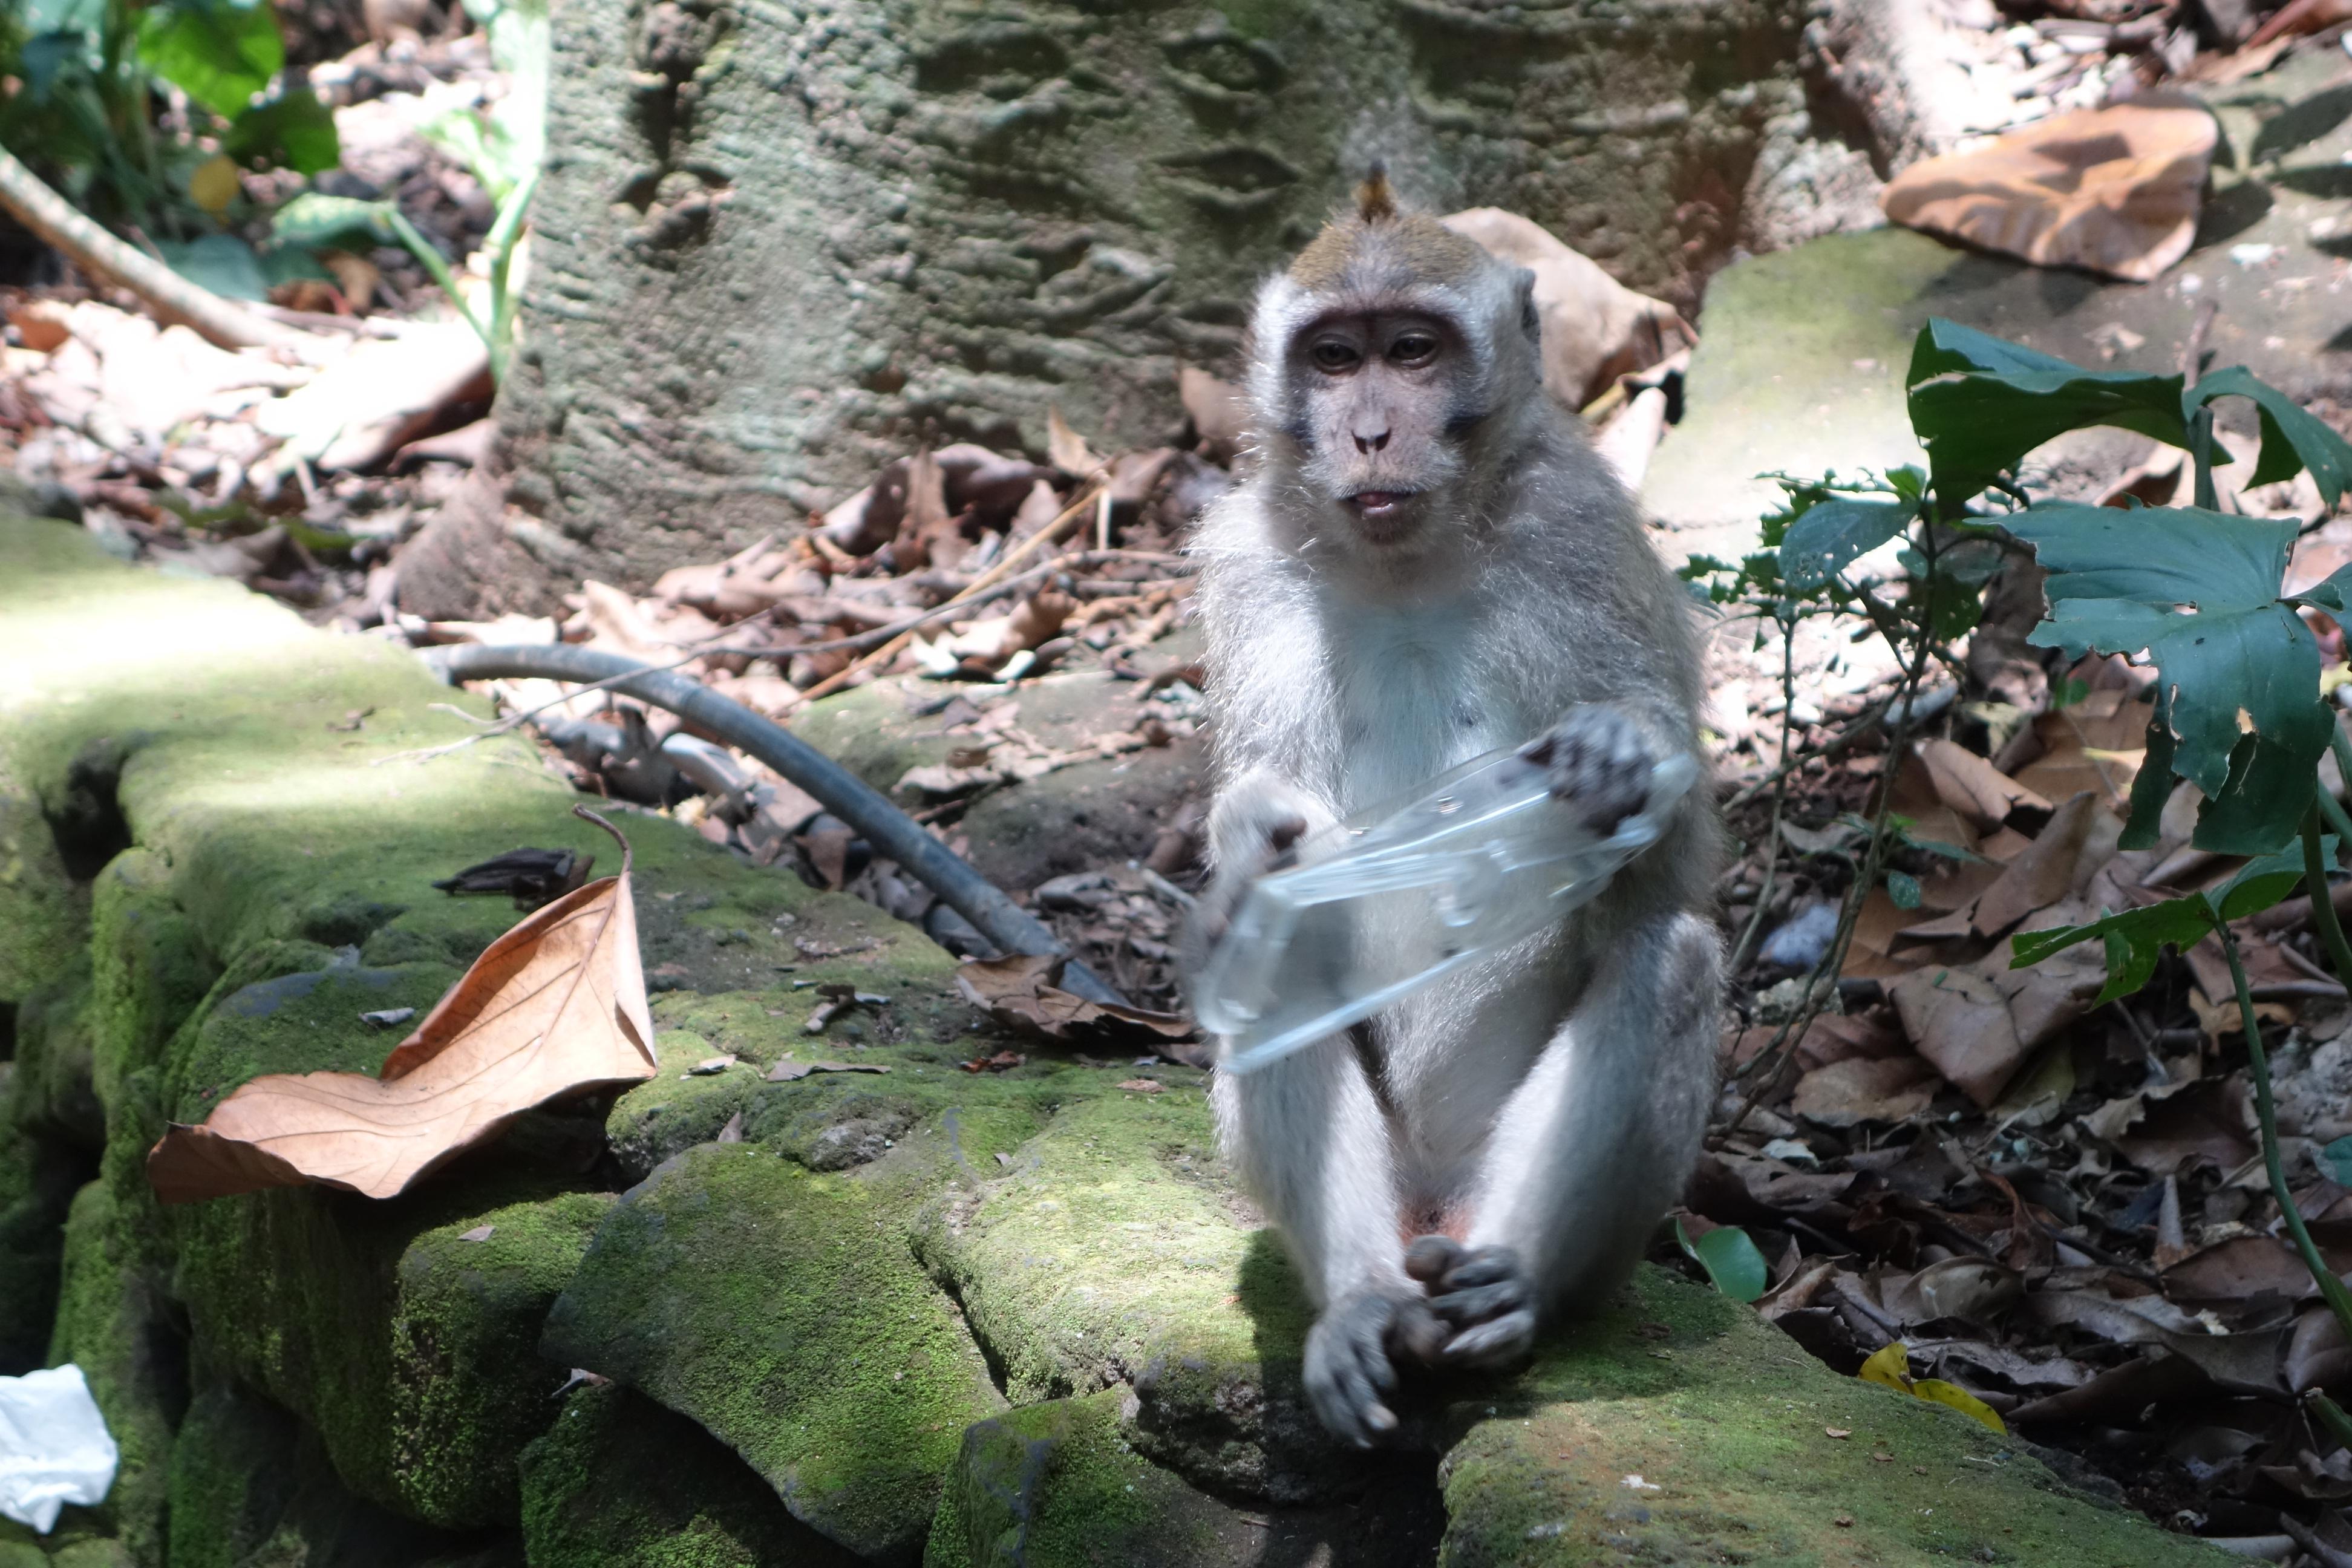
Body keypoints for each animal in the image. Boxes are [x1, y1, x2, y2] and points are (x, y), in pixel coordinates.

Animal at [1186, 171, 1724, 1448]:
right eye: (1334, 357)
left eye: (1414, 351)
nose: (1371, 431)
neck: (1408, 564)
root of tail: (1431, 1206)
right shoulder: (1246, 569)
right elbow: (1263, 865)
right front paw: (1253, 832)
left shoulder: (1583, 536)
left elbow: (1670, 856)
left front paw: (1620, 752)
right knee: (1273, 955)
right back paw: (1365, 1303)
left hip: (1531, 1205)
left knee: (1668, 955)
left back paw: (1508, 1285)